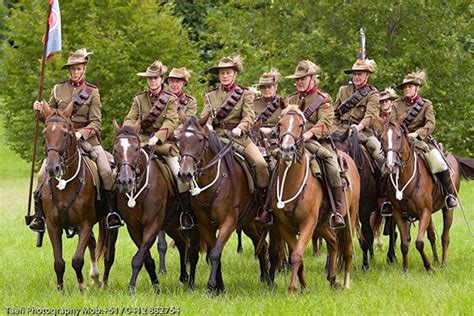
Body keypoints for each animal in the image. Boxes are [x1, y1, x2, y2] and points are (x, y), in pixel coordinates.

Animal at [39, 102, 110, 292]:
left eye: (66, 133)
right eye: (44, 133)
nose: (53, 168)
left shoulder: (84, 223)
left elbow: (77, 259)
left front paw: (82, 286)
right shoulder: (53, 225)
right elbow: (58, 262)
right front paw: (61, 289)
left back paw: (100, 281)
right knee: (92, 243)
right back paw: (95, 278)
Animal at [112, 121, 200, 294]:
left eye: (136, 149)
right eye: (115, 149)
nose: (125, 181)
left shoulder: (152, 225)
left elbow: (138, 258)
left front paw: (131, 288)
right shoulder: (134, 228)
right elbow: (146, 259)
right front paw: (156, 286)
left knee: (192, 250)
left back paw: (191, 282)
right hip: (172, 224)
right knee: (181, 243)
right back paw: (184, 277)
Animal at [177, 116, 270, 294]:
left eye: (200, 140)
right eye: (180, 140)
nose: (185, 174)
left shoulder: (228, 222)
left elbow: (215, 253)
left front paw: (211, 286)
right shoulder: (205, 225)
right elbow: (214, 251)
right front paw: (219, 288)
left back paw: (269, 280)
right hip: (248, 224)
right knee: (260, 244)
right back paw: (265, 277)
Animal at [268, 105, 362, 292]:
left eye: (301, 124)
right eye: (280, 124)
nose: (287, 150)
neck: (292, 182)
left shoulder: (308, 223)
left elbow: (297, 255)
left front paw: (292, 289)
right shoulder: (284, 226)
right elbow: (296, 255)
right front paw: (303, 286)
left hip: (349, 217)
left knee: (347, 248)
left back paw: (346, 282)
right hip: (323, 223)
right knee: (333, 242)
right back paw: (332, 278)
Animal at [382, 117, 474, 270]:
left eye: (398, 137)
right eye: (381, 137)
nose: (390, 165)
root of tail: (451, 156)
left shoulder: (424, 211)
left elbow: (419, 242)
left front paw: (429, 267)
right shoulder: (398, 213)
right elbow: (405, 243)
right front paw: (405, 269)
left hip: (447, 210)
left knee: (445, 236)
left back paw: (442, 263)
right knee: (432, 236)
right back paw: (436, 259)